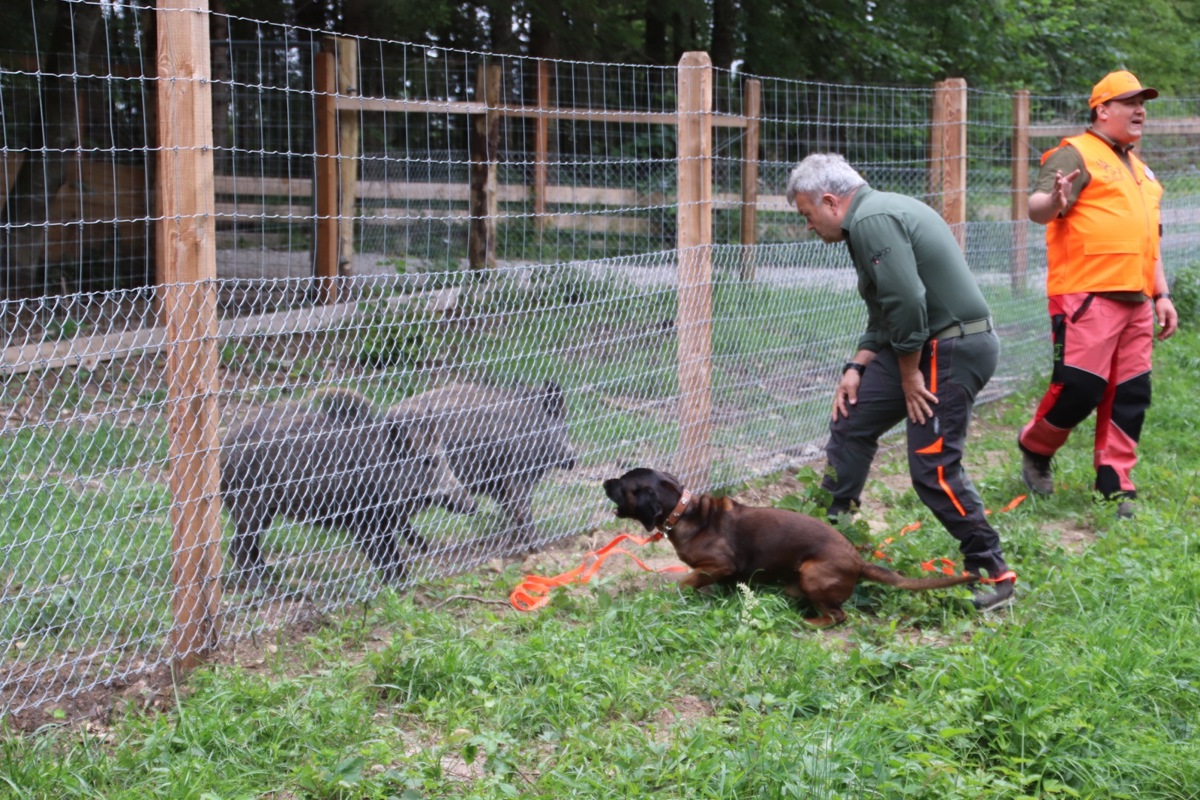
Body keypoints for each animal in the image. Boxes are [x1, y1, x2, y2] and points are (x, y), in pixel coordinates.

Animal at [604, 470, 979, 623]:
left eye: (622, 483)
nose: (605, 480)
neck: (683, 512)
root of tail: (858, 562)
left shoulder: (720, 565)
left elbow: (687, 580)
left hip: (813, 573)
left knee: (838, 616)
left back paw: (810, 622)